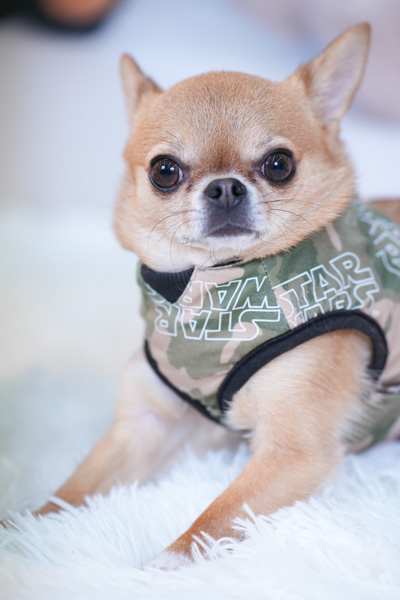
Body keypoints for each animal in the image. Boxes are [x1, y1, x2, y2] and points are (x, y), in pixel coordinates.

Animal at [20, 22, 400, 569]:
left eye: (279, 164)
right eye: (164, 170)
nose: (224, 188)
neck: (208, 292)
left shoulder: (293, 452)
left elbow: (217, 515)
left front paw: (166, 566)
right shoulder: (145, 425)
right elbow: (68, 492)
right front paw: (23, 532)